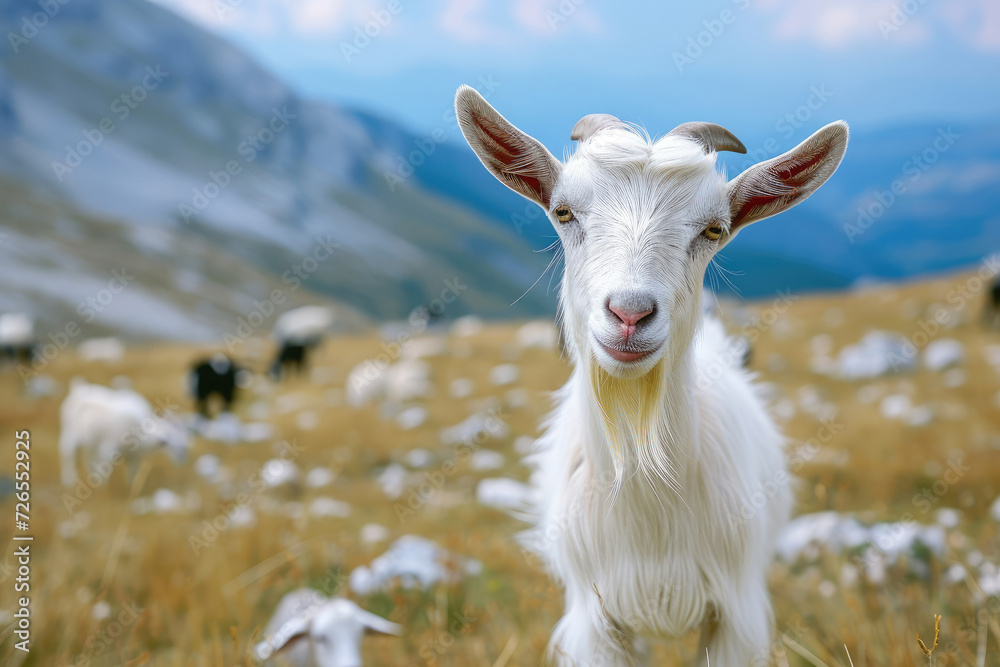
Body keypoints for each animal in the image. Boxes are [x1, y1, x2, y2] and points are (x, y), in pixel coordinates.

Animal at [59, 378, 189, 487]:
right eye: (172, 445)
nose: (182, 462)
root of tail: (78, 388)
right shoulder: (107, 451)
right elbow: (103, 475)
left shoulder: (135, 459)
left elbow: (131, 479)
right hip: (69, 433)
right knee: (68, 455)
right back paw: (69, 480)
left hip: (90, 441)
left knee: (87, 457)